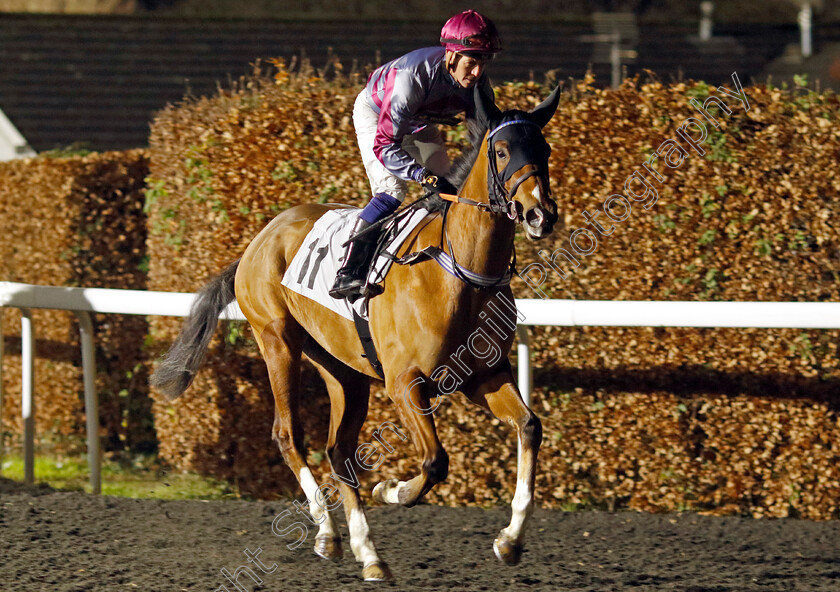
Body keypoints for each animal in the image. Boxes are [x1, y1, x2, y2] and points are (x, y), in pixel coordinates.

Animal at [154, 85, 560, 580]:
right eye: (501, 151)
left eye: (544, 149)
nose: (540, 214)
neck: (458, 271)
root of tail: (258, 240)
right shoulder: (405, 383)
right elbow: (435, 461)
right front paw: (391, 489)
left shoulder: (483, 374)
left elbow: (529, 426)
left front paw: (510, 540)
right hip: (278, 343)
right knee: (289, 436)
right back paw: (327, 532)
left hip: (341, 368)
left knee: (339, 450)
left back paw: (368, 552)